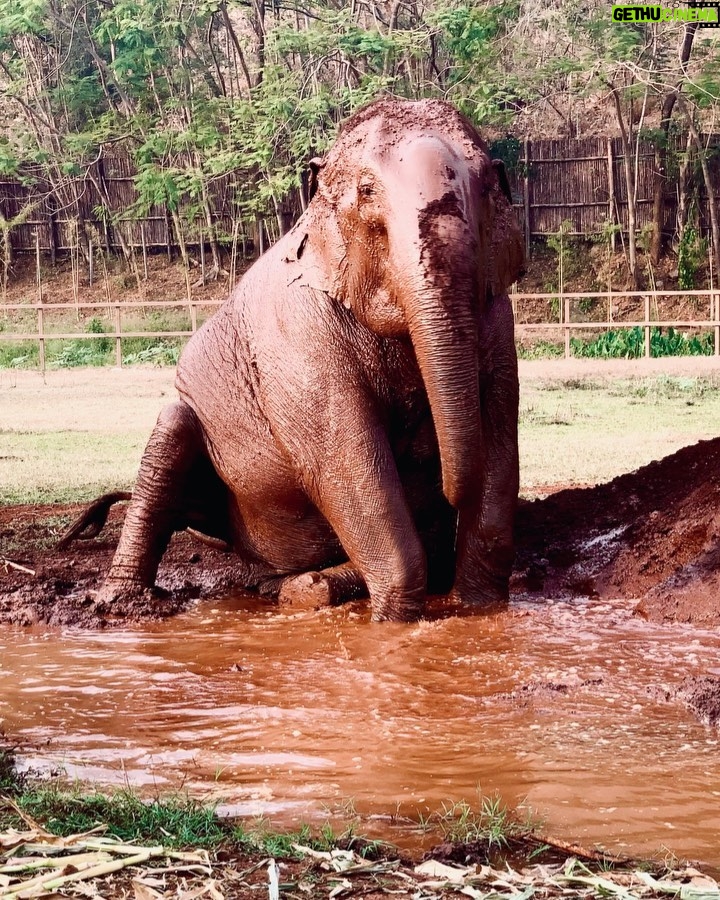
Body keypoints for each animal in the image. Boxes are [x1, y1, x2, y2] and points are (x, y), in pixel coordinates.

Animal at [91, 96, 524, 620]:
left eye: (485, 186)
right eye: (366, 192)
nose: (444, 487)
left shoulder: (496, 317)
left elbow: (500, 438)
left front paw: (478, 611)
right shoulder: (300, 338)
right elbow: (344, 464)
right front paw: (395, 622)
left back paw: (301, 586)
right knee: (171, 429)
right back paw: (125, 605)